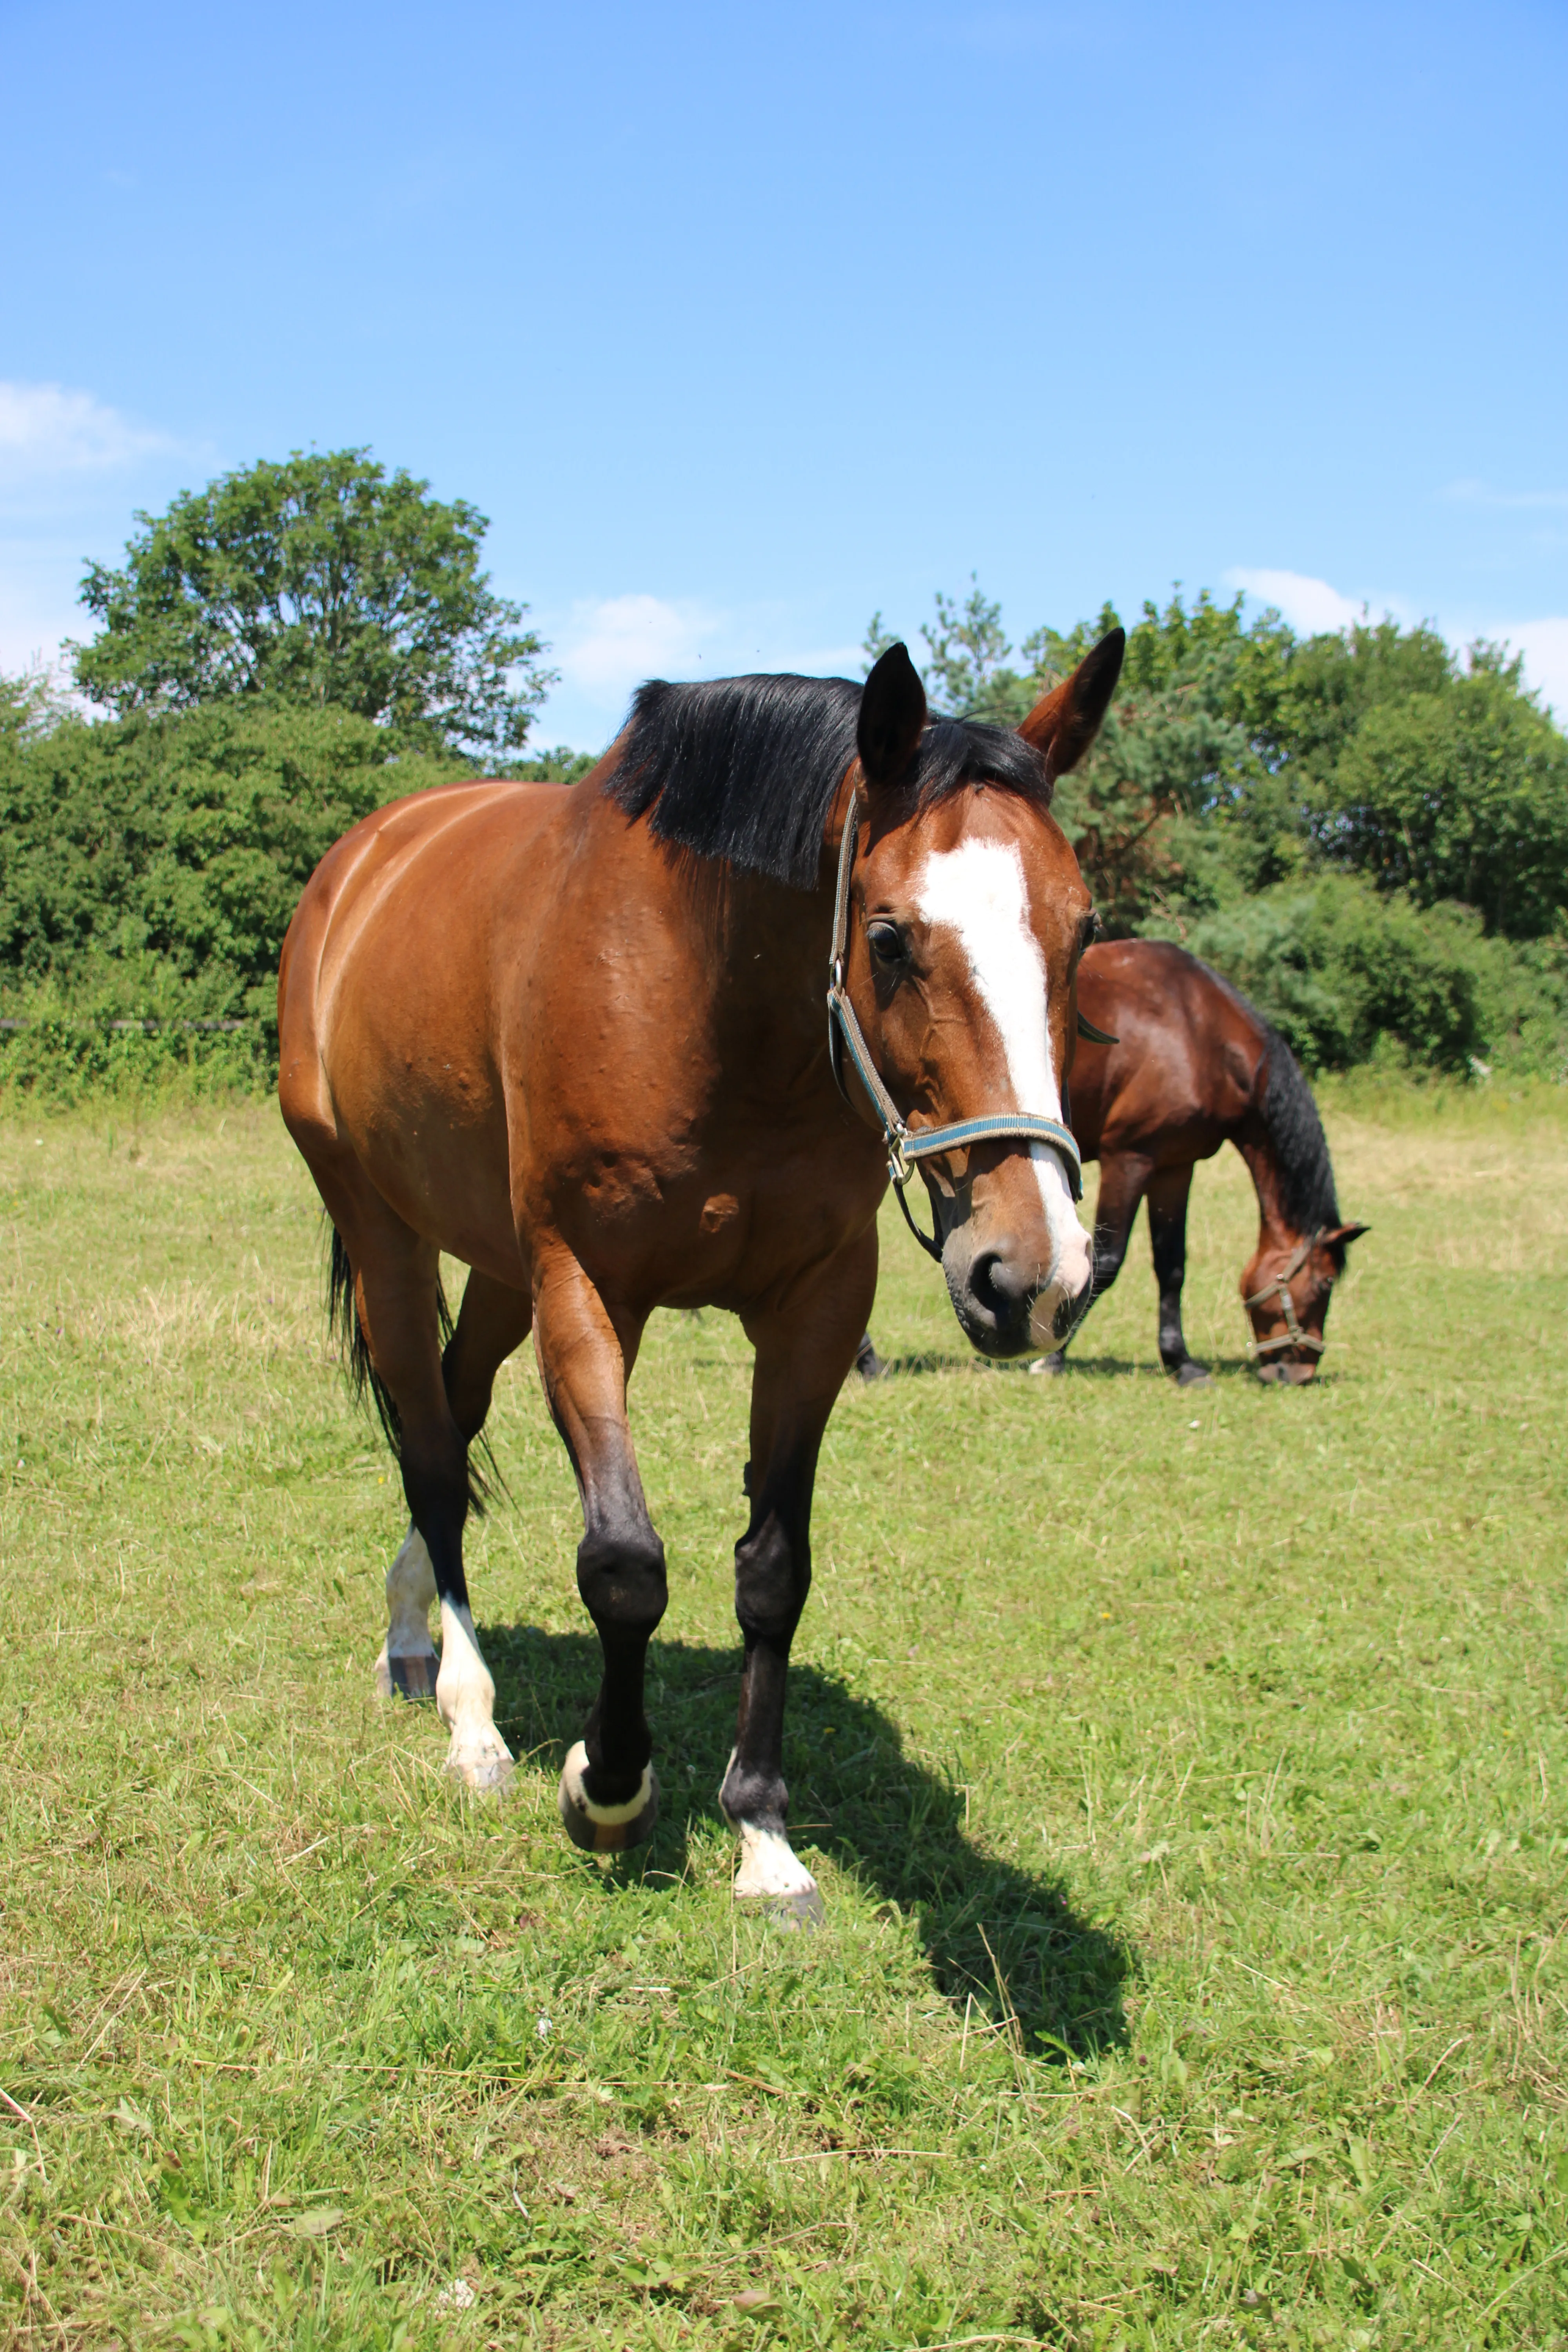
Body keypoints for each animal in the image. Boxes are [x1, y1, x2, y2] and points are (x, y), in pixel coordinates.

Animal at [276, 635, 1123, 1919]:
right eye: (889, 938)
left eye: (1078, 936)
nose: (1033, 1273)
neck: (705, 996)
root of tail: (361, 860)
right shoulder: (586, 1290)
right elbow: (624, 1564)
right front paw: (607, 1786)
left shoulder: (816, 1307)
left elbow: (773, 1572)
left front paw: (763, 1836)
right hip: (386, 1232)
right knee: (427, 1449)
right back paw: (471, 1719)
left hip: (497, 1267)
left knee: (452, 1421)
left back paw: (410, 1635)